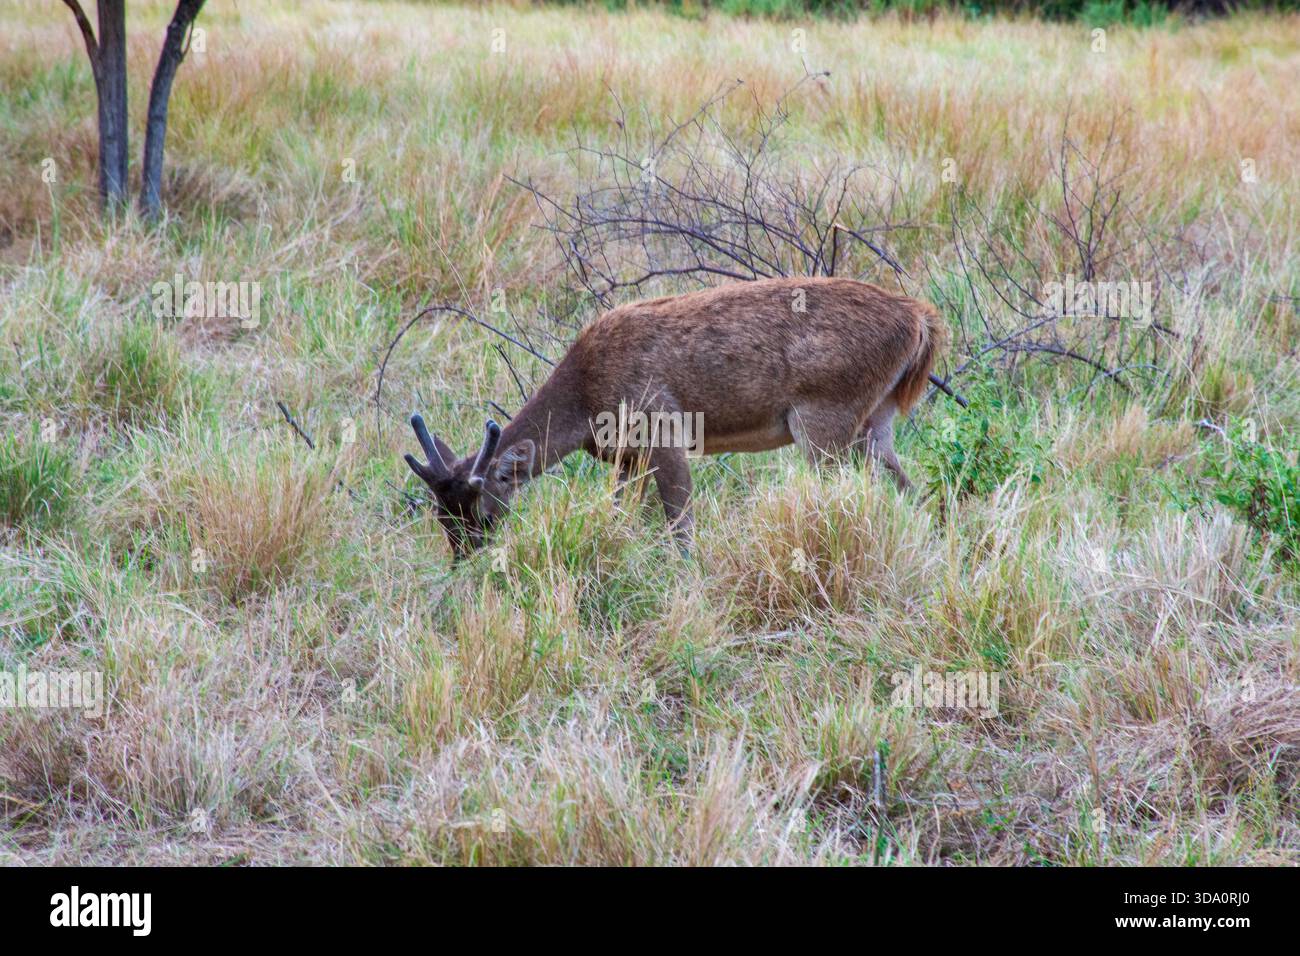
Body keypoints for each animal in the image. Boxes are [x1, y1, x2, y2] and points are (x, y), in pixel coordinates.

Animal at [403, 276, 946, 559]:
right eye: (440, 514)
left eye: (485, 511)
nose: (466, 561)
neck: (587, 402)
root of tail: (920, 321)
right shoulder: (627, 457)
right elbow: (621, 517)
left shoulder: (663, 429)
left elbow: (680, 521)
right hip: (877, 420)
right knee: (909, 489)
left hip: (825, 417)